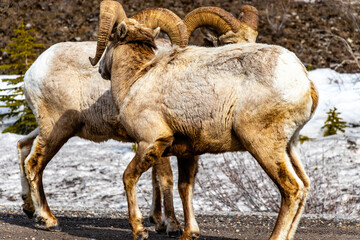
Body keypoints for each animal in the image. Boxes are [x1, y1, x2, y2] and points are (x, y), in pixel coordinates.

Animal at [19, 4, 258, 238]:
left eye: (254, 40)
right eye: (229, 42)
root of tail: (33, 71)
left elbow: (157, 179)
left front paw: (157, 221)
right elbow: (165, 179)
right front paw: (171, 226)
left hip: (48, 128)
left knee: (23, 146)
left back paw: (29, 210)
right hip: (57, 129)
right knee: (34, 164)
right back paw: (49, 220)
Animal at [89, 0, 318, 239]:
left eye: (111, 39)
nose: (101, 68)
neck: (137, 79)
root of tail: (305, 81)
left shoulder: (150, 142)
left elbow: (129, 177)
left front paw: (139, 230)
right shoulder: (187, 152)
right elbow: (185, 187)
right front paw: (189, 233)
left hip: (264, 146)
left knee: (292, 189)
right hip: (290, 146)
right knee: (305, 185)